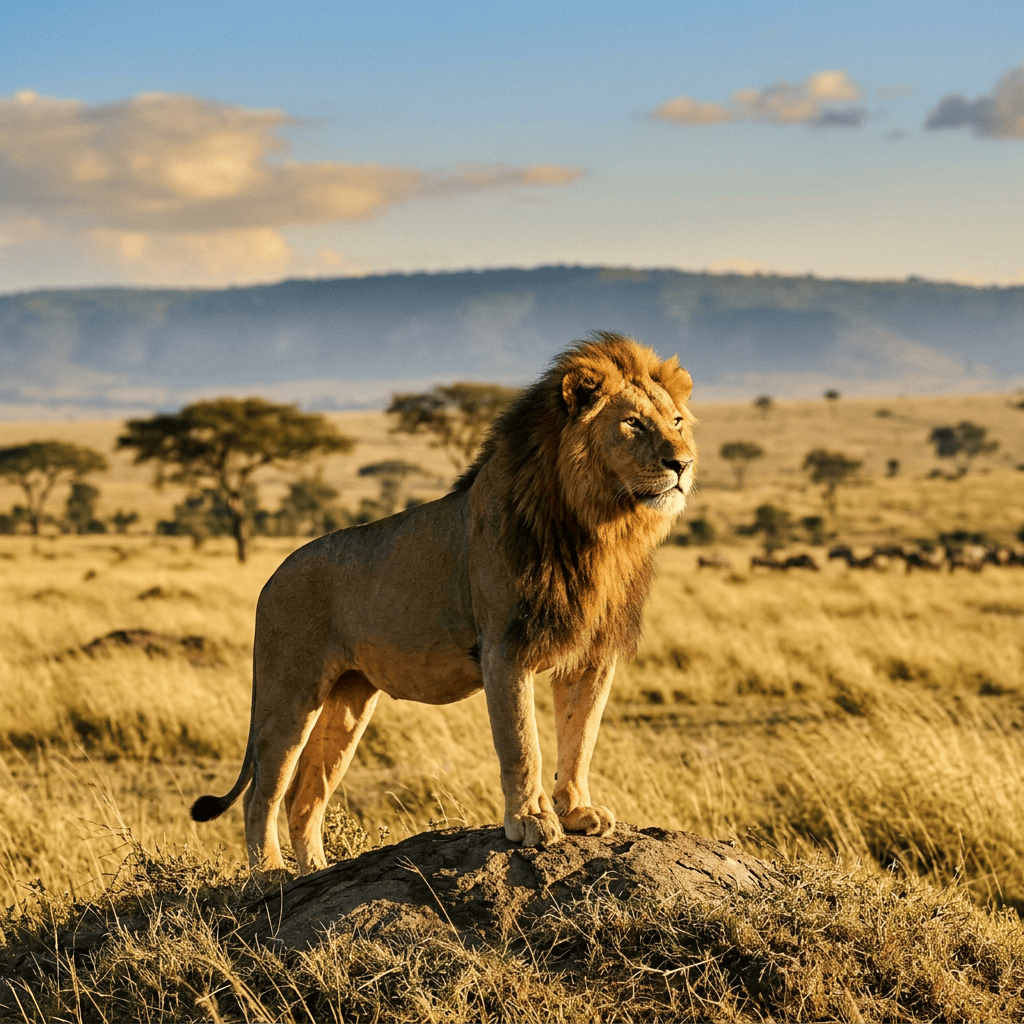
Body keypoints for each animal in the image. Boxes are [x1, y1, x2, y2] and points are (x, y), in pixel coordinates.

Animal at [191, 332, 697, 873]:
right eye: (633, 423)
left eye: (676, 422)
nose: (682, 464)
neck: (598, 527)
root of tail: (271, 577)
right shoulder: (505, 649)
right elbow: (522, 744)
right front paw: (531, 822)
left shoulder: (592, 655)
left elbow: (580, 738)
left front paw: (578, 812)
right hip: (290, 690)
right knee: (262, 792)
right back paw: (271, 874)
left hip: (349, 699)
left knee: (304, 795)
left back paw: (318, 872)